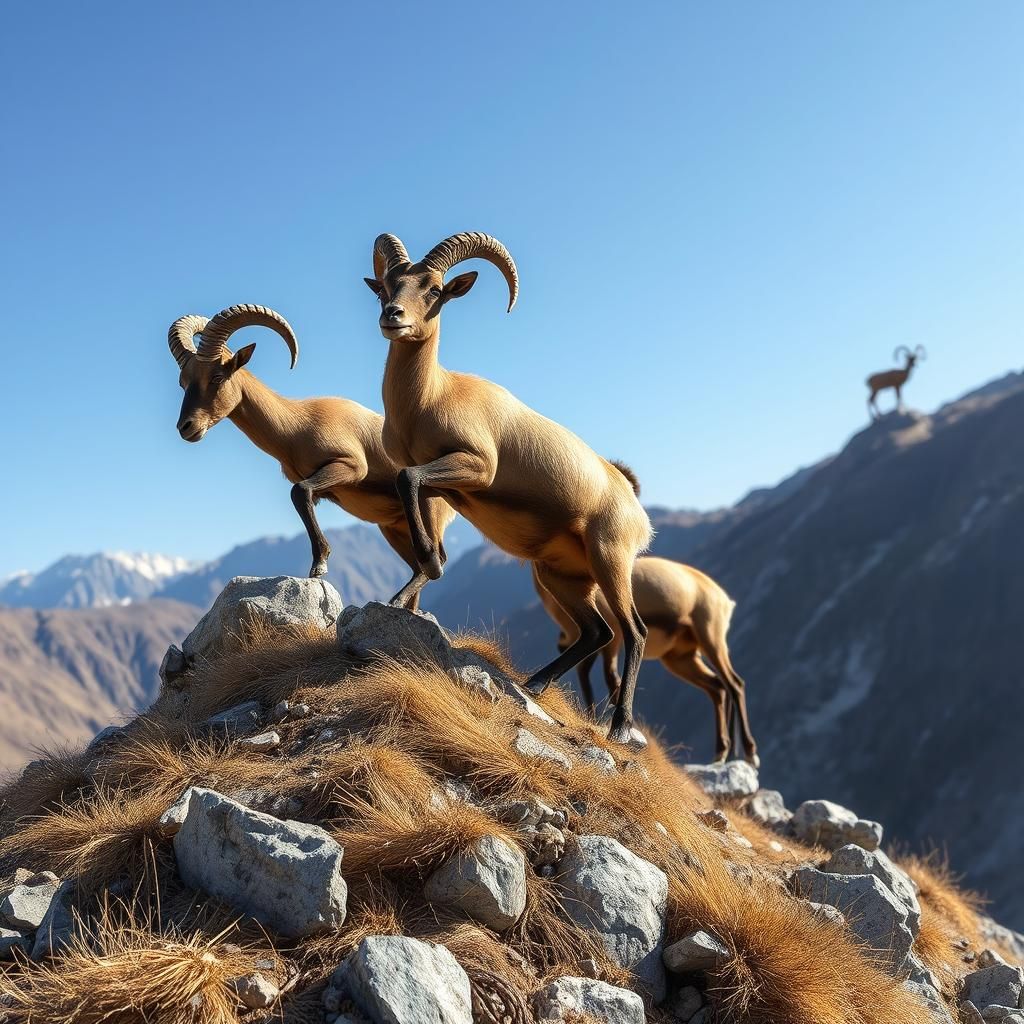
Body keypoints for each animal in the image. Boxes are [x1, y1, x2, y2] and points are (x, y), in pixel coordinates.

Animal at [168, 303, 455, 607]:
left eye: (217, 377)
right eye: (183, 382)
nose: (186, 427)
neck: (297, 425)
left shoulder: (350, 466)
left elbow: (299, 492)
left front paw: (320, 564)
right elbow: (302, 495)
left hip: (429, 510)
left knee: (438, 558)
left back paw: (397, 599)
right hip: (393, 527)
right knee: (416, 565)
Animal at [364, 232, 653, 745]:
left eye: (434, 290)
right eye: (386, 287)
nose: (393, 316)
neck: (432, 396)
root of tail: (637, 510)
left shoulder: (476, 467)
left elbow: (407, 481)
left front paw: (425, 574)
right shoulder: (437, 484)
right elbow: (412, 492)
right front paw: (407, 591)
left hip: (611, 559)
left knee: (633, 632)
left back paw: (619, 726)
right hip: (559, 574)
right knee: (596, 632)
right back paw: (534, 684)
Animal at [533, 554, 758, 766]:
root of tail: (725, 599)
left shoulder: (612, 637)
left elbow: (609, 676)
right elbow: (587, 674)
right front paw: (593, 718)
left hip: (712, 641)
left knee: (734, 684)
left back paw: (748, 753)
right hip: (680, 659)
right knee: (717, 687)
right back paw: (723, 752)